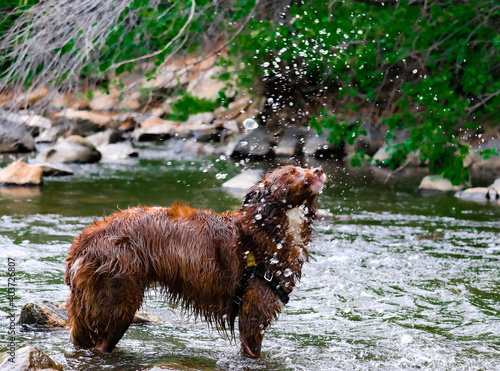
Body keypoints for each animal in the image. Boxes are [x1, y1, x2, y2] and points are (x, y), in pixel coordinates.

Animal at [64, 167, 326, 358]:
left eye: (302, 166)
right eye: (292, 172)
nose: (318, 169)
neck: (267, 228)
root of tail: (85, 240)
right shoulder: (255, 307)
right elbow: (252, 347)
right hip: (119, 292)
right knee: (102, 341)